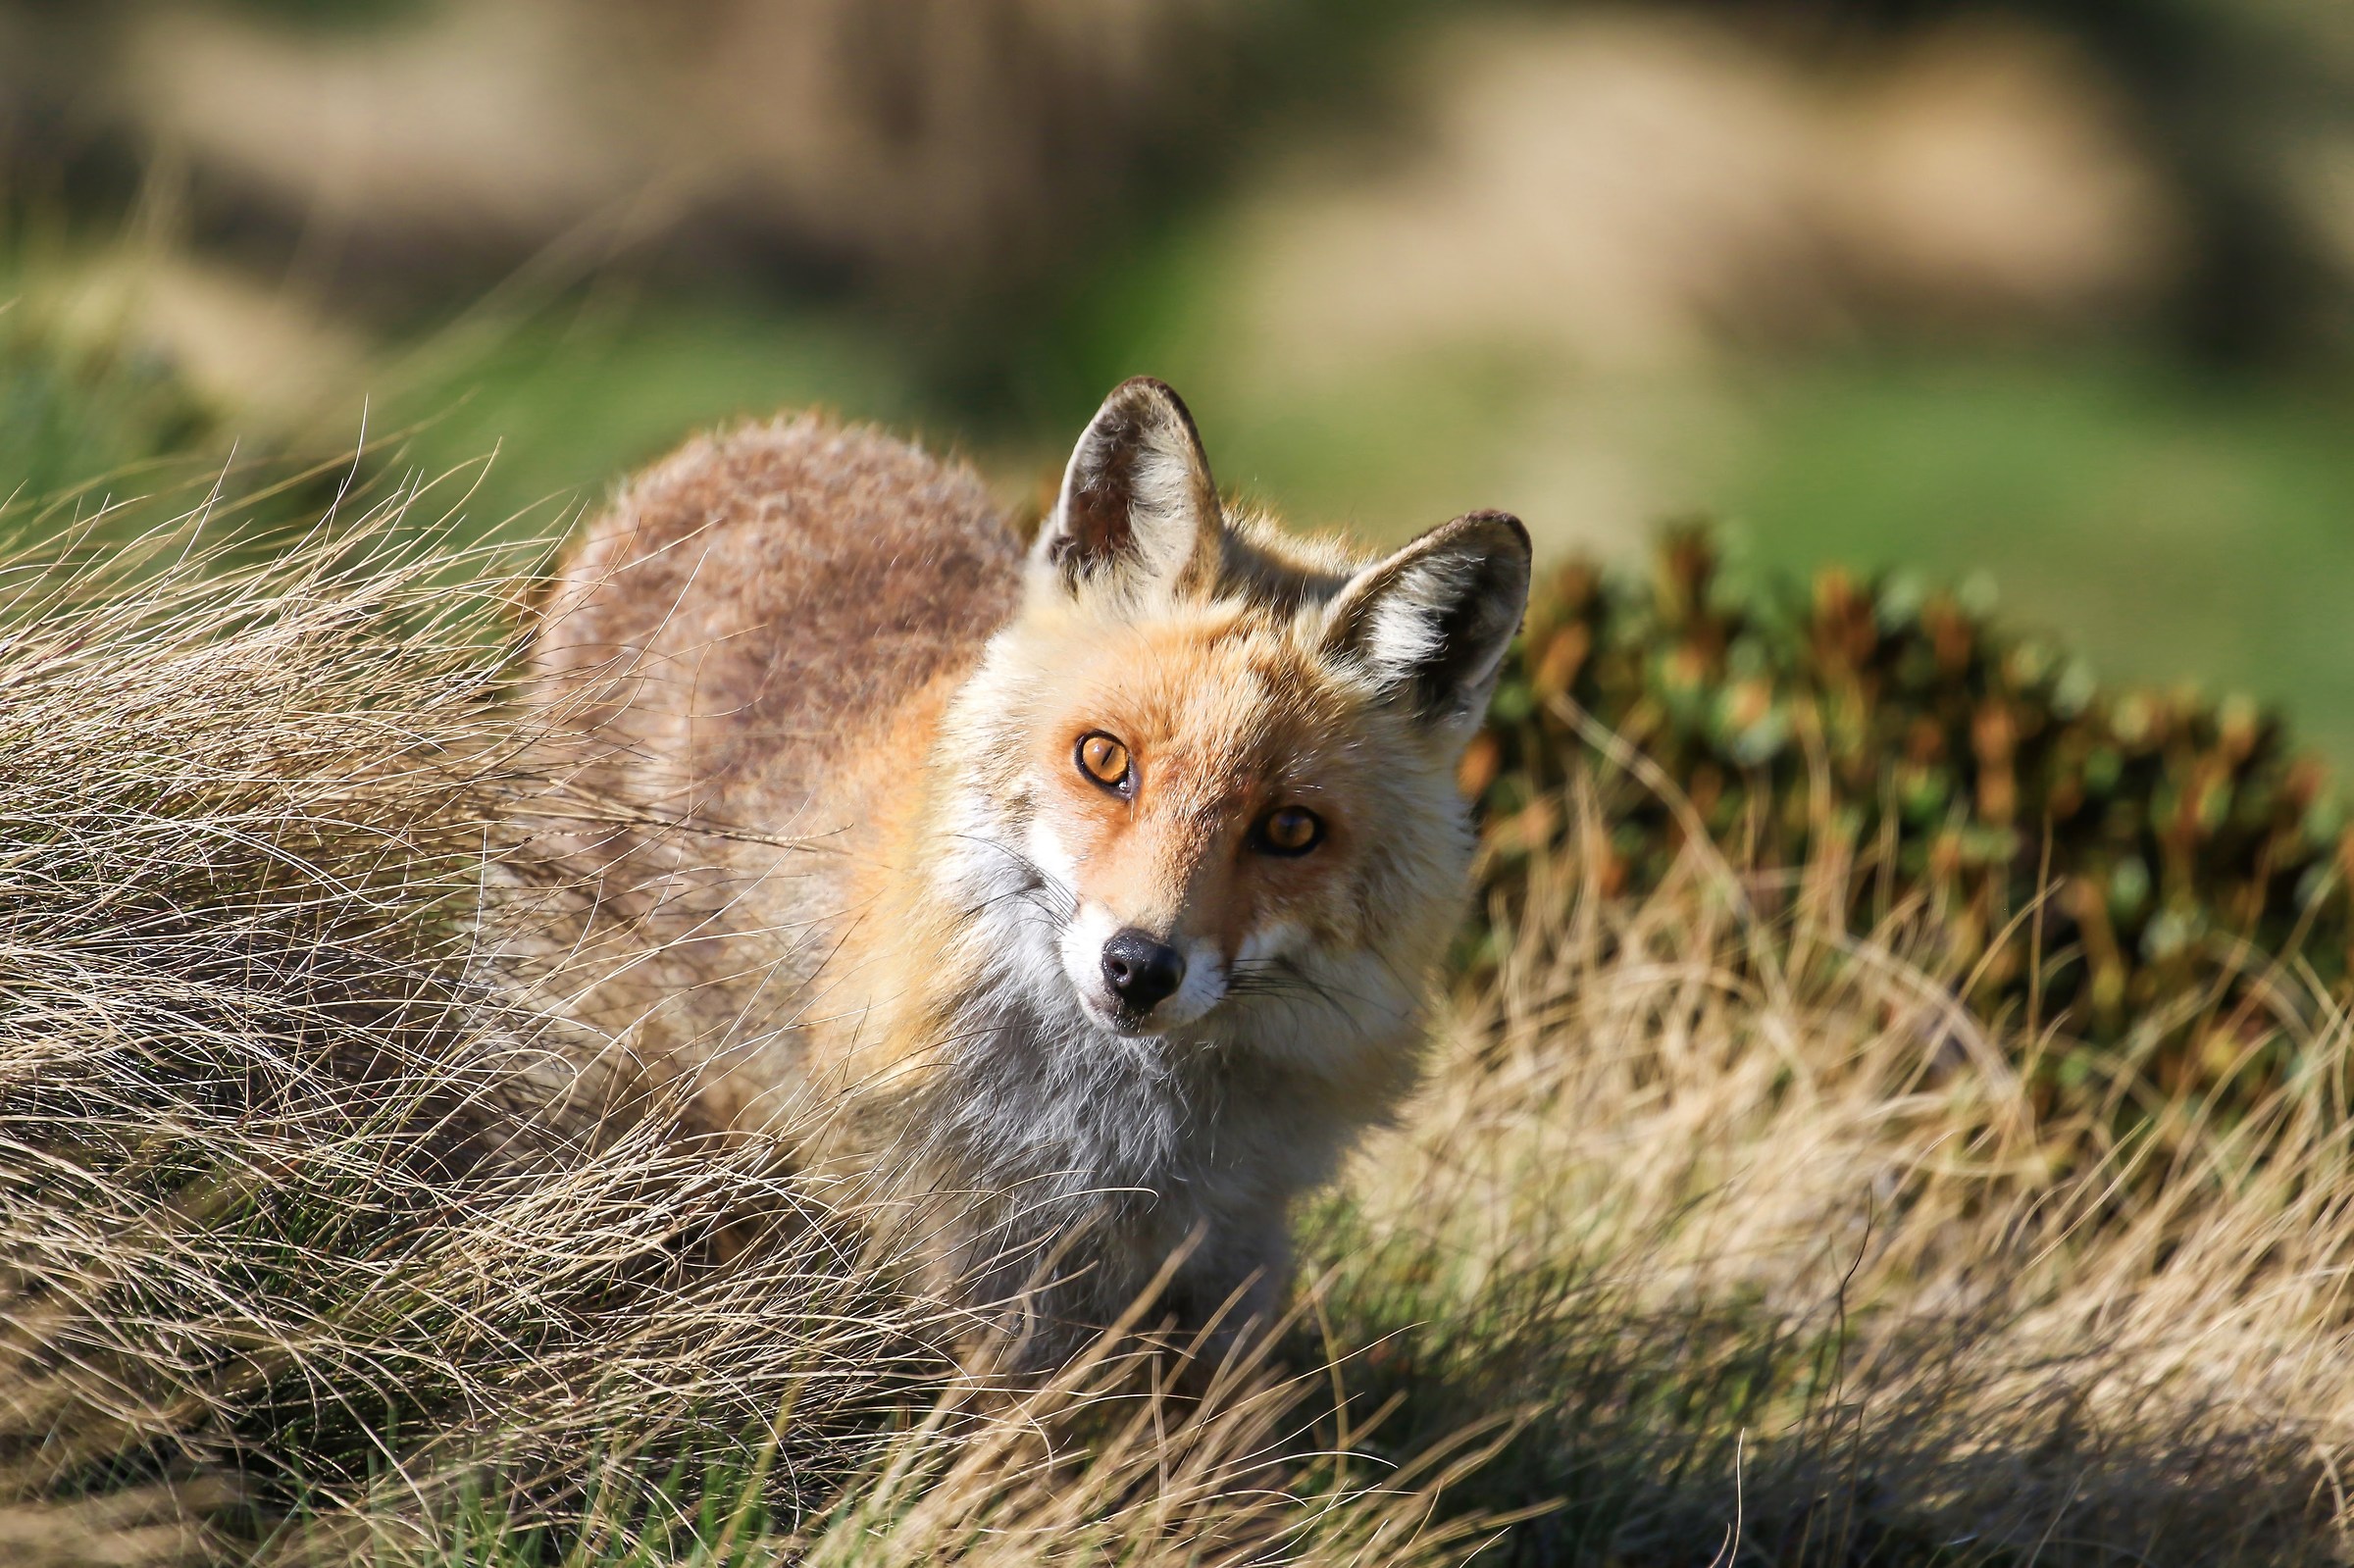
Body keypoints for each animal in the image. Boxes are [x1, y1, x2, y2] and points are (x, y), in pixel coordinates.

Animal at [520, 377, 1530, 1364]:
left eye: (1289, 828)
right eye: (1105, 759)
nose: (1139, 967)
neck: (1124, 1141)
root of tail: (760, 435)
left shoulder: (1236, 1241)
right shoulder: (974, 1254)